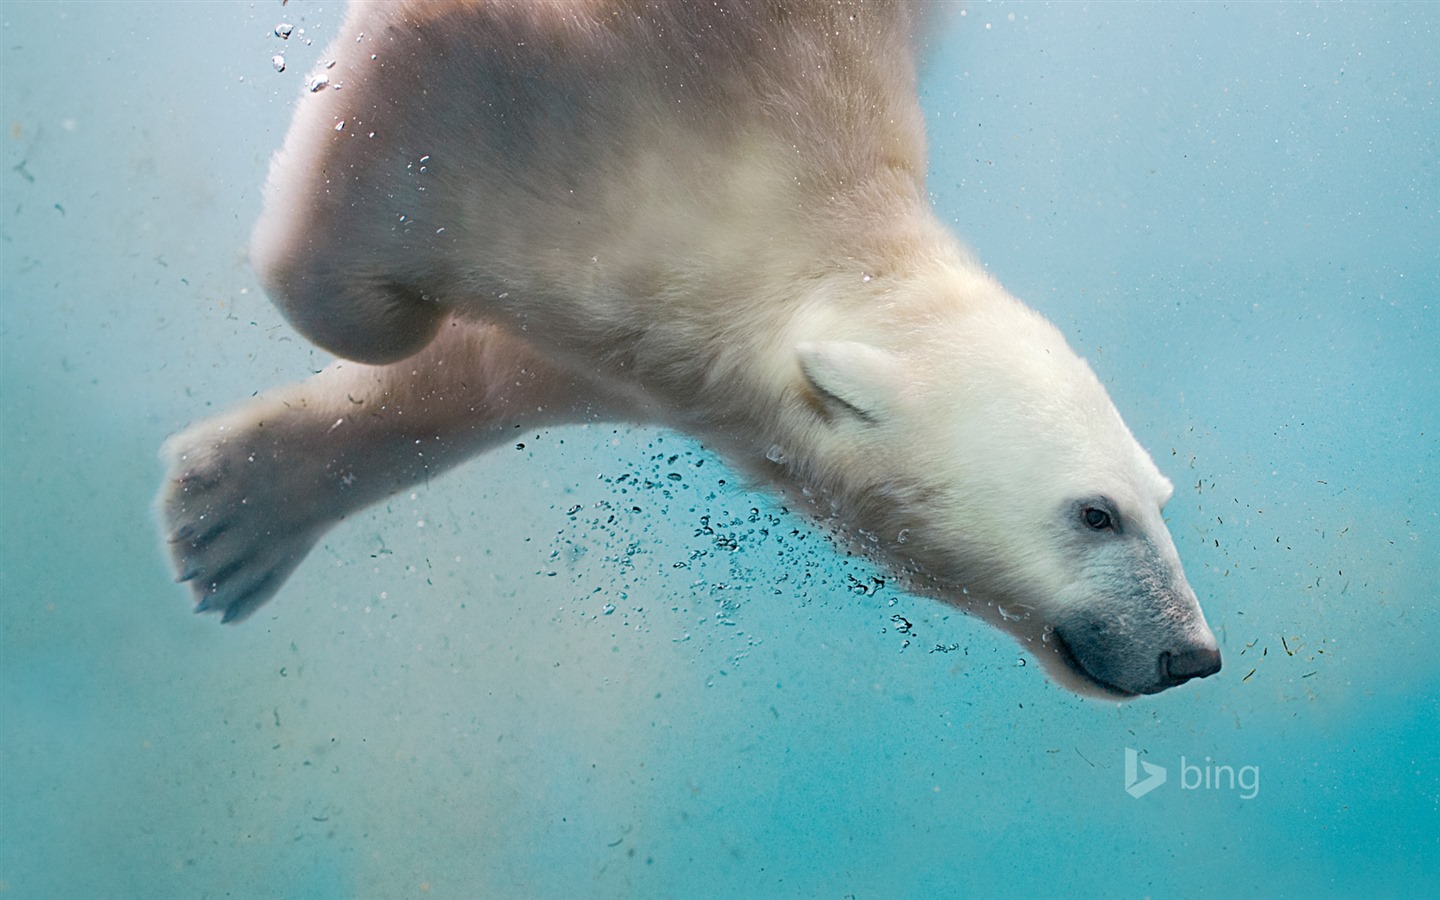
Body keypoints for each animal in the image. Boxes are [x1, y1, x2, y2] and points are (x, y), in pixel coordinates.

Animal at [157, 0, 1221, 699]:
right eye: (1095, 513)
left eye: (1158, 498)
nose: (1193, 655)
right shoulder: (559, 89)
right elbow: (375, 279)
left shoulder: (652, 333)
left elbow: (509, 366)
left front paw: (230, 516)